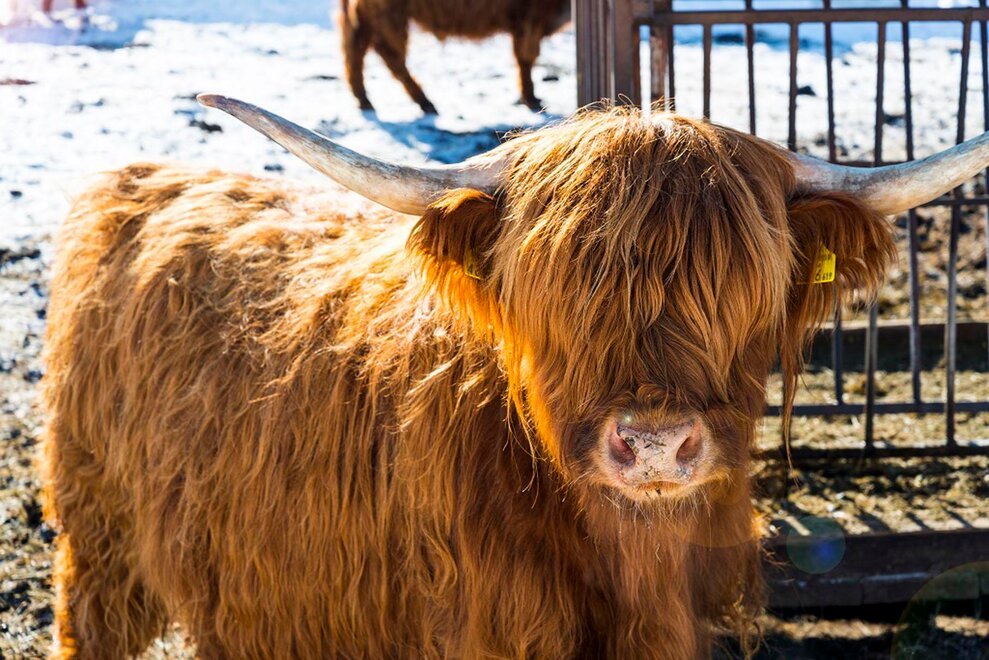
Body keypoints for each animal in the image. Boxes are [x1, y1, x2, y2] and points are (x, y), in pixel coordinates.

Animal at [339, 0, 570, 113]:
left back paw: (364, 99)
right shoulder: (531, 19)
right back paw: (426, 102)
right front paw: (532, 99)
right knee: (390, 55)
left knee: (355, 46)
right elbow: (526, 57)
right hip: (390, 16)